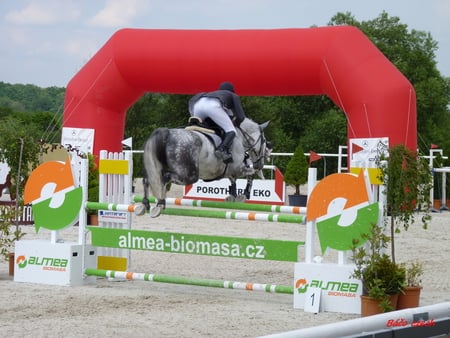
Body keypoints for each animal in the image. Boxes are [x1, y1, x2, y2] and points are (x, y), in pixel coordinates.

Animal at [137, 117, 270, 218]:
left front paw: (232, 196)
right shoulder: (237, 168)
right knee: (163, 179)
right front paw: (244, 195)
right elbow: (250, 174)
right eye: (264, 141)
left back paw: (144, 205)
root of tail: (166, 134)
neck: (240, 137)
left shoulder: (229, 171)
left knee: (147, 180)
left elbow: (234, 179)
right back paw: (160, 204)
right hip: (189, 175)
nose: (260, 164)